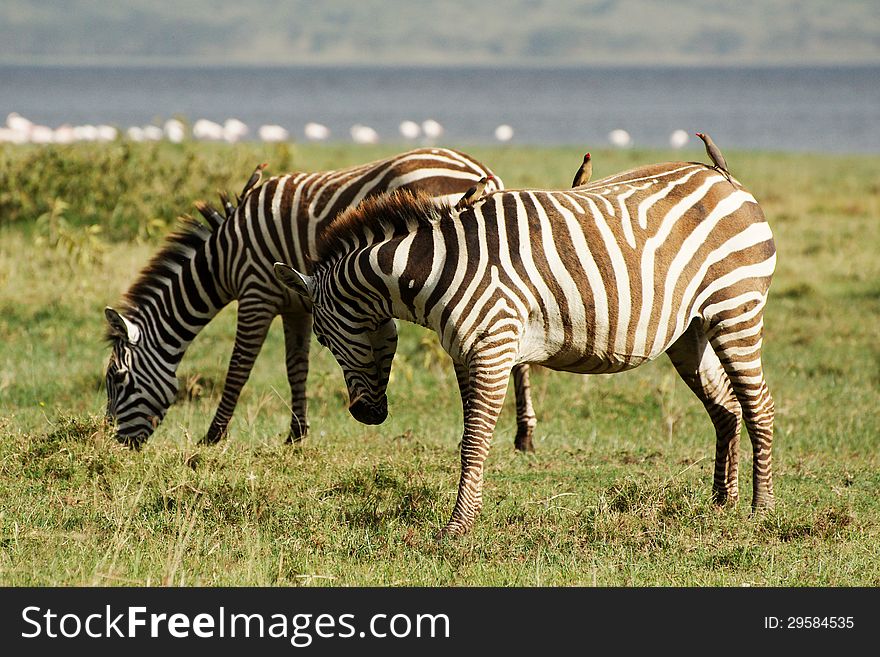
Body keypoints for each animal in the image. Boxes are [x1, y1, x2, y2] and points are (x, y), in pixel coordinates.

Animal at [103, 147, 544, 448]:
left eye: (118, 380)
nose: (113, 443)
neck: (223, 257)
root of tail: (484, 172)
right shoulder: (295, 303)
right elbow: (296, 367)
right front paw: (296, 434)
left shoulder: (256, 292)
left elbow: (239, 367)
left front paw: (213, 436)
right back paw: (523, 435)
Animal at [276, 161, 776, 536]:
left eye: (323, 339)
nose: (366, 415)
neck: (433, 268)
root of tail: (724, 178)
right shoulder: (464, 355)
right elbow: (469, 438)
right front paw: (468, 516)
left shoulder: (492, 346)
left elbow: (474, 441)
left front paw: (457, 528)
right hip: (691, 332)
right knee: (726, 409)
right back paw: (722, 503)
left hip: (735, 310)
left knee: (759, 406)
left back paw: (761, 509)